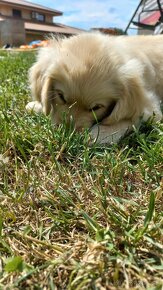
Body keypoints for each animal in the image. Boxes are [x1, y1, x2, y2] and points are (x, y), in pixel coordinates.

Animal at [26, 32, 162, 144]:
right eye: (61, 97)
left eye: (95, 108)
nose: (67, 134)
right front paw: (37, 106)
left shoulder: (151, 108)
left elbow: (126, 119)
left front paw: (99, 134)